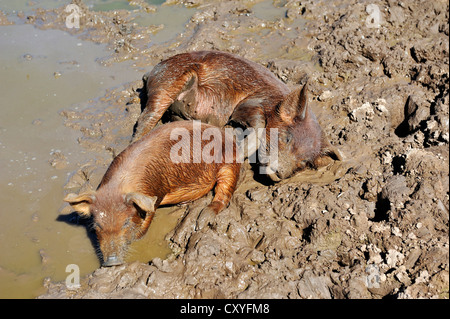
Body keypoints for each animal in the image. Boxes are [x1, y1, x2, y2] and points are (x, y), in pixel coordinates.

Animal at [64, 121, 241, 266]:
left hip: (229, 164)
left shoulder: (155, 193)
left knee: (224, 194)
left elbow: (148, 217)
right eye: (96, 226)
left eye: (126, 223)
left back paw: (202, 219)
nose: (111, 262)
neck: (119, 186)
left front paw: (137, 237)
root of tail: (226, 135)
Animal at [132, 49, 342, 180]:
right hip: (167, 81)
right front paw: (239, 150)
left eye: (304, 162)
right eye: (287, 138)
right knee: (145, 120)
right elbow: (257, 123)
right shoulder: (247, 104)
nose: (281, 173)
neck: (273, 101)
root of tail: (152, 72)